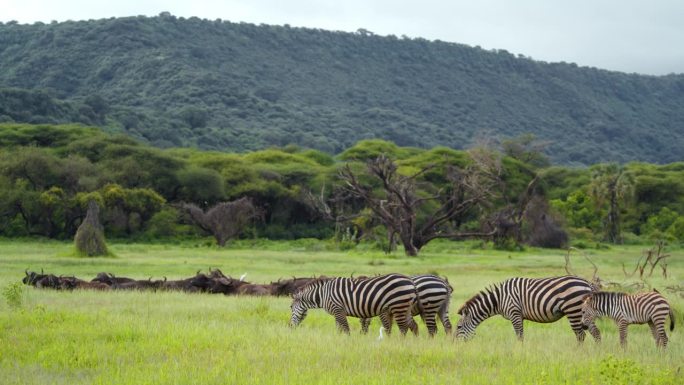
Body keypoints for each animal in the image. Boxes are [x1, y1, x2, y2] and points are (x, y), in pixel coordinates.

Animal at [288, 272, 416, 332]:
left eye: (290, 307)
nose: (289, 327)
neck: (323, 294)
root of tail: (409, 281)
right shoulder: (336, 312)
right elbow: (339, 329)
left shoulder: (338, 309)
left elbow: (345, 329)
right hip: (405, 307)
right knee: (413, 325)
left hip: (398, 306)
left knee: (403, 328)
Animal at [456, 274, 600, 340]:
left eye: (458, 327)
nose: (455, 345)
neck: (499, 299)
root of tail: (587, 283)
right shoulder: (519, 316)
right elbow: (521, 335)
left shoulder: (514, 313)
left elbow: (519, 336)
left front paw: (519, 353)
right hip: (584, 313)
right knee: (595, 332)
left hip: (573, 310)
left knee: (581, 335)